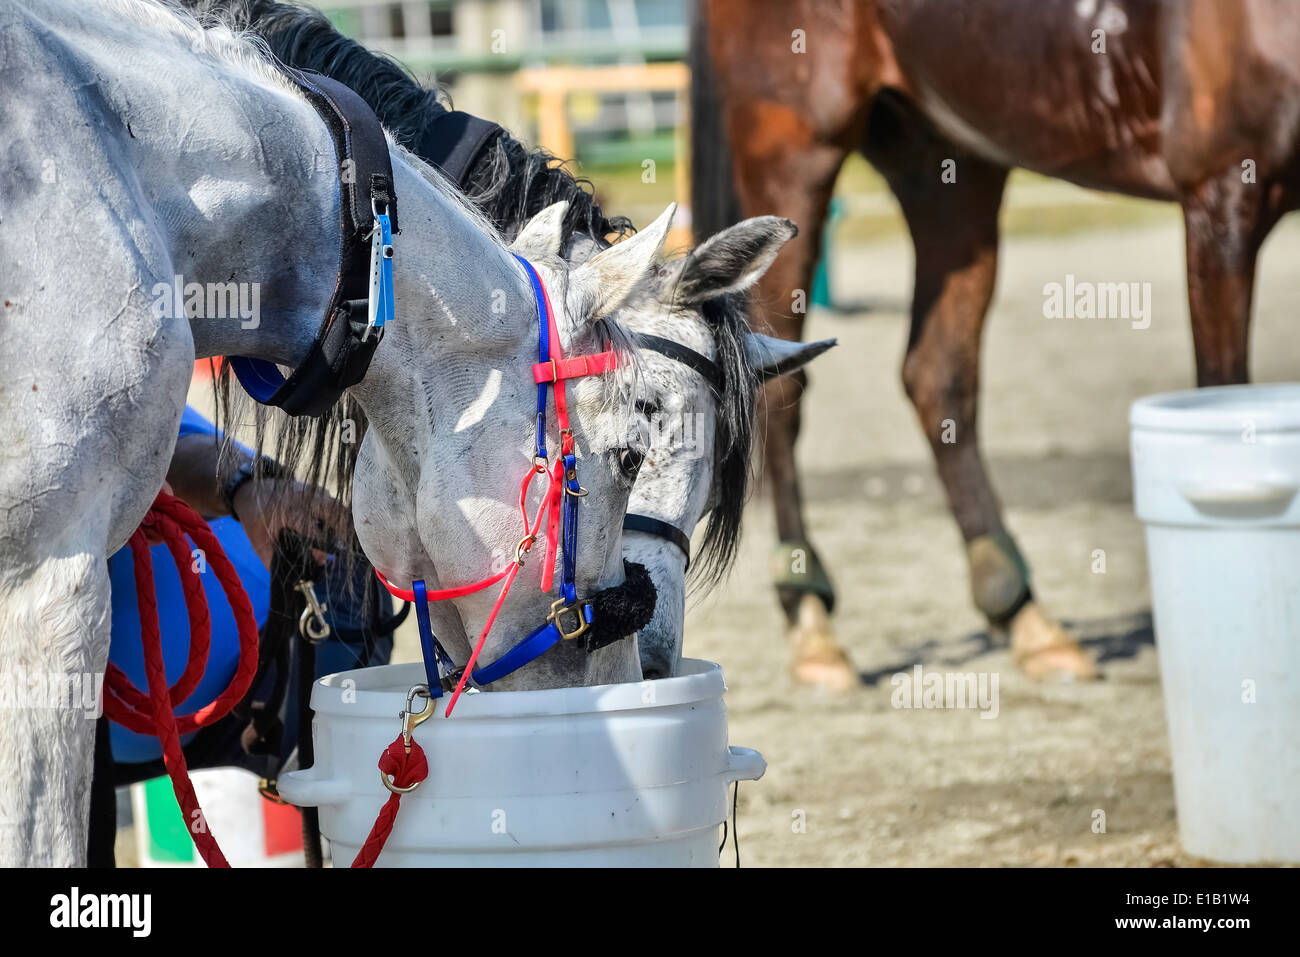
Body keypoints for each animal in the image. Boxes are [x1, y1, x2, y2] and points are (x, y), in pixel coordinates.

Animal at [691, 0, 1300, 681]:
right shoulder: (1223, 195)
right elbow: (1225, 394)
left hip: (949, 166)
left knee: (938, 376)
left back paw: (1025, 614)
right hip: (794, 148)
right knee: (781, 386)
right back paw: (811, 620)